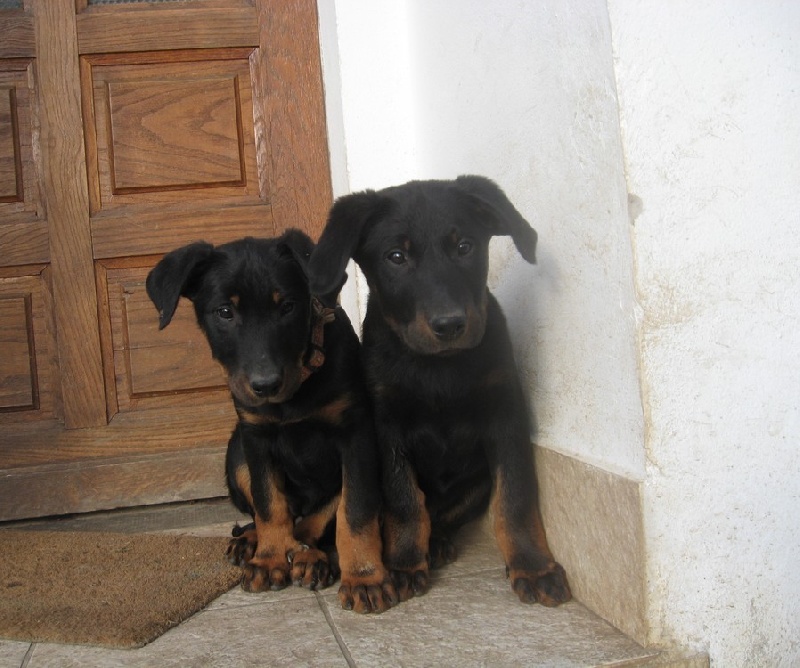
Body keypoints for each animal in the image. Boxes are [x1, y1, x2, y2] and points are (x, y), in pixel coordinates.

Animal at [310, 176, 572, 604]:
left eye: (464, 247)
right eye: (396, 256)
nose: (449, 325)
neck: (439, 367)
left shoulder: (506, 416)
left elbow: (514, 498)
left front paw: (533, 566)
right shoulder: (387, 427)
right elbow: (405, 500)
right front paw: (402, 564)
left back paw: (437, 543)